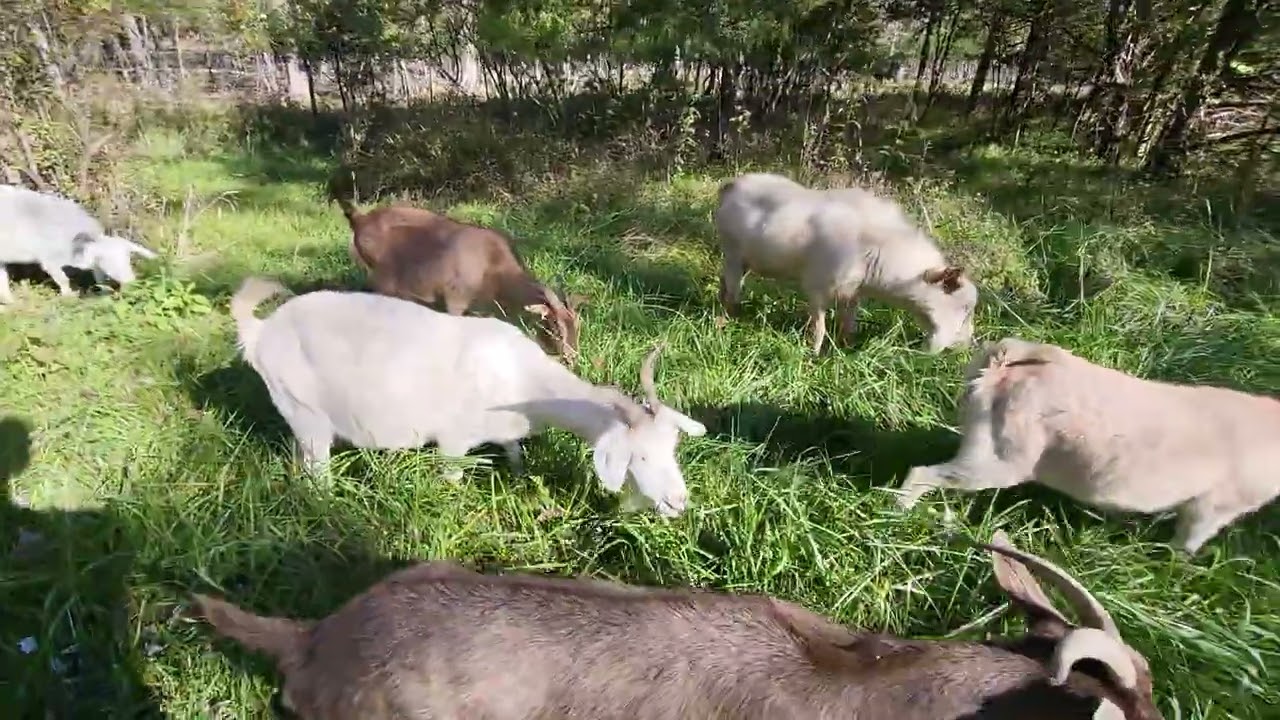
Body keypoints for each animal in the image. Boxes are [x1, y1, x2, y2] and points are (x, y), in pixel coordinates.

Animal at [0, 184, 157, 304]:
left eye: (128, 257)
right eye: (102, 259)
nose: (132, 282)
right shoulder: (49, 257)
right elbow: (62, 279)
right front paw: (69, 297)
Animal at [229, 277, 705, 515]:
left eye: (673, 449)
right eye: (638, 456)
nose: (679, 503)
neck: (521, 377)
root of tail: (260, 331)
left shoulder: (509, 432)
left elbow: (515, 455)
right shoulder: (454, 443)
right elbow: (453, 479)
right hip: (304, 410)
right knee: (316, 472)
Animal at [336, 197, 584, 364]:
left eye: (578, 325)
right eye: (555, 327)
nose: (572, 358)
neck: (494, 268)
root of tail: (359, 220)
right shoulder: (455, 299)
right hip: (382, 281)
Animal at [714, 172, 978, 354]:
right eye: (963, 307)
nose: (964, 348)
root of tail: (731, 184)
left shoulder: (853, 291)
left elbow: (848, 323)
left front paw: (846, 349)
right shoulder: (817, 284)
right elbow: (819, 326)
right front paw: (814, 354)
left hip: (742, 259)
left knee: (724, 283)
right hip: (733, 251)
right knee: (732, 289)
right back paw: (726, 320)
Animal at [897, 337, 1280, 554]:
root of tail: (1006, 357)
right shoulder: (1216, 504)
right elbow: (1188, 540)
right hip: (1000, 458)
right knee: (922, 473)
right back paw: (902, 514)